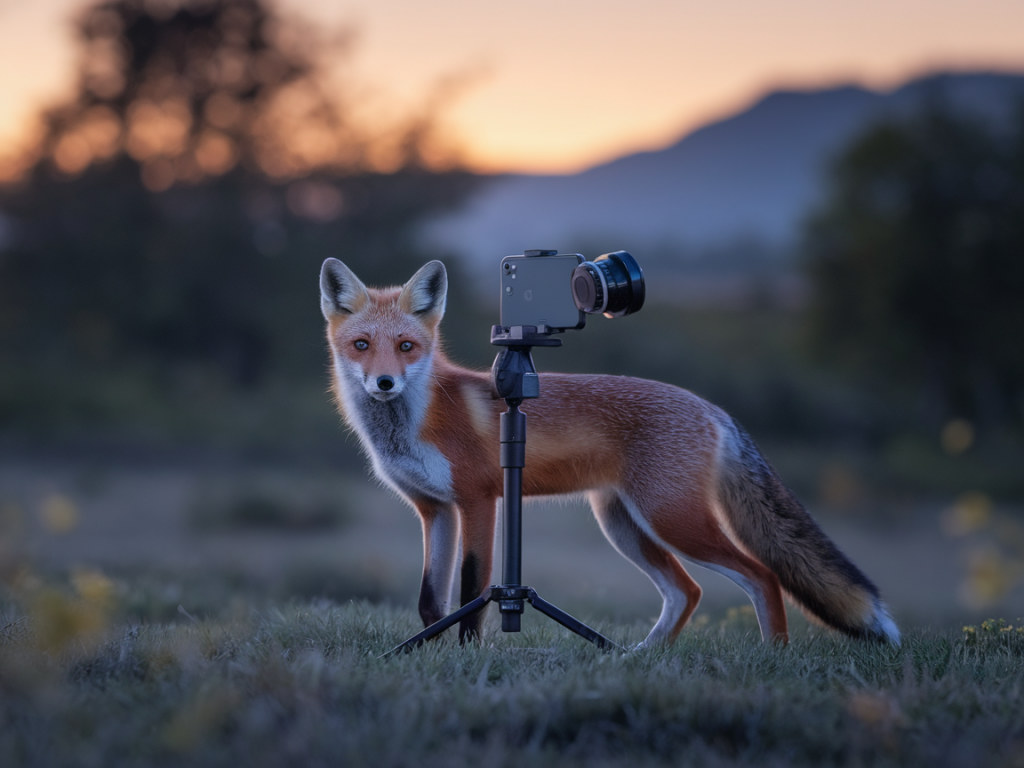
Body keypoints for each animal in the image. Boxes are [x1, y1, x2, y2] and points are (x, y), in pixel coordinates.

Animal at [319, 258, 900, 648]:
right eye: (362, 346)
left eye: (407, 346)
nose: (386, 383)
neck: (414, 423)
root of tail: (713, 408)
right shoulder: (434, 510)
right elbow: (429, 601)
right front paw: (433, 652)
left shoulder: (479, 501)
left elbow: (471, 594)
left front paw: (468, 656)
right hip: (625, 524)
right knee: (687, 591)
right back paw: (640, 658)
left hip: (672, 520)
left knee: (763, 576)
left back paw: (771, 657)